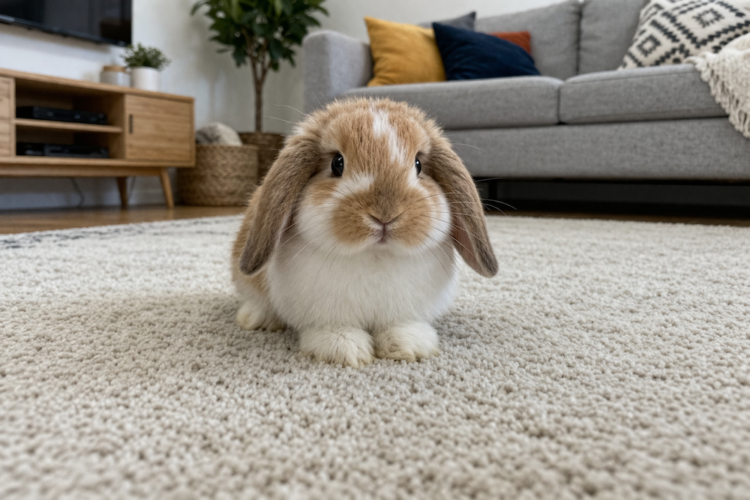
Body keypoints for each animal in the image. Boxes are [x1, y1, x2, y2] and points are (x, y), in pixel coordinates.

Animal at [231, 98, 498, 367]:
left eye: (418, 164)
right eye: (337, 163)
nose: (385, 214)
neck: (375, 255)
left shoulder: (403, 311)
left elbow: (400, 326)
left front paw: (409, 347)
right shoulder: (326, 312)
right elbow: (334, 328)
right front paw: (343, 350)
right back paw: (256, 319)